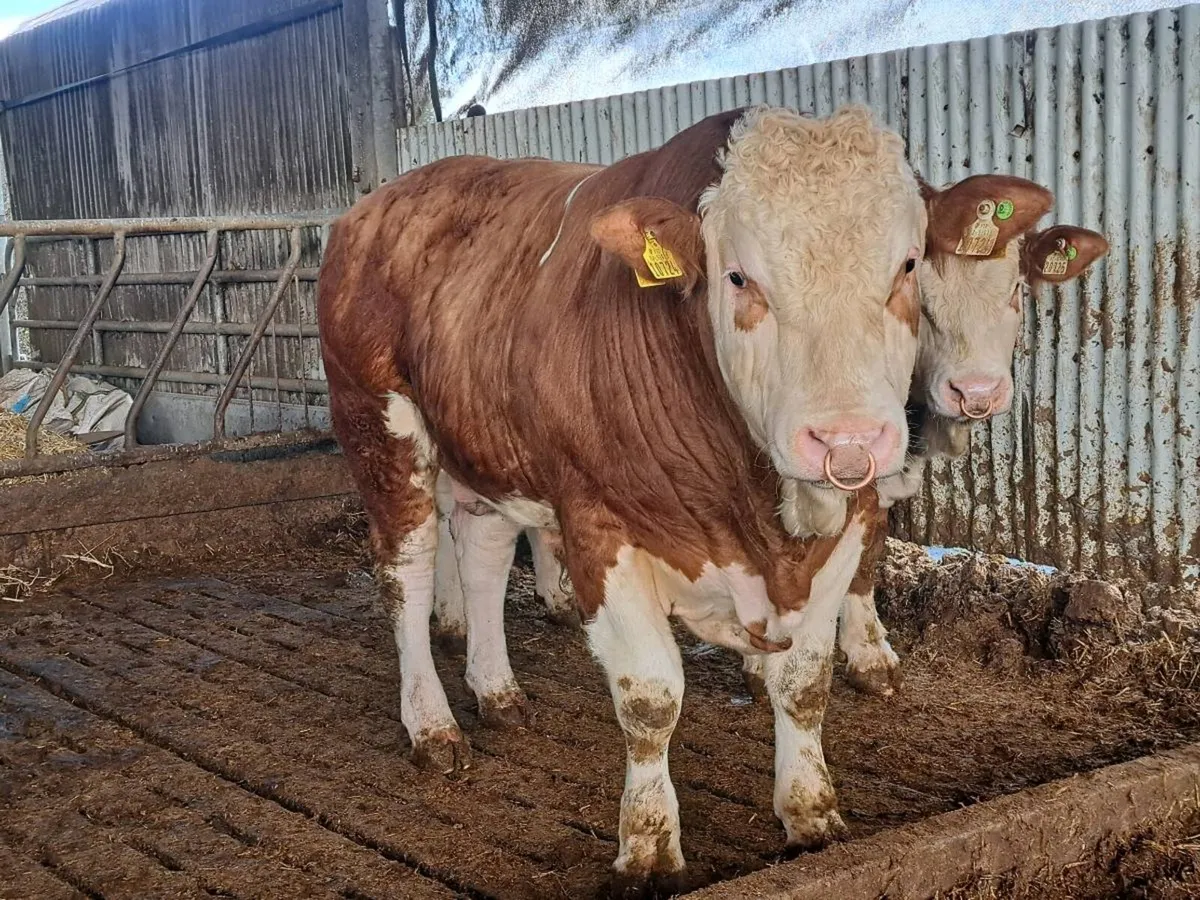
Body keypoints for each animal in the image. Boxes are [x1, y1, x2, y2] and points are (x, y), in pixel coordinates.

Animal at [317, 105, 927, 882]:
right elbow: (650, 698)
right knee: (408, 572)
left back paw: (496, 690)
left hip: (484, 442)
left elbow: (804, 684)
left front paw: (812, 817)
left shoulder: (841, 533)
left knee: (483, 554)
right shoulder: (600, 529)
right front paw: (648, 845)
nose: (845, 437)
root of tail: (375, 202)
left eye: (907, 265)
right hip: (379, 426)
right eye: (738, 276)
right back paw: (432, 725)